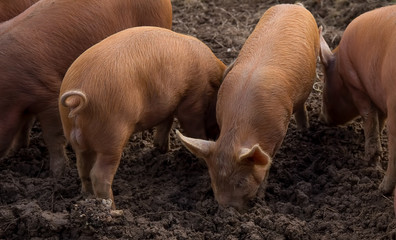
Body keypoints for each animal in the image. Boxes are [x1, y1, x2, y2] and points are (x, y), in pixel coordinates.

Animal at [58, 26, 226, 209]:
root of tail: (77, 99)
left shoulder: (168, 104)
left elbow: (165, 124)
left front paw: (163, 149)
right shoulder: (192, 101)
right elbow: (193, 128)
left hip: (78, 141)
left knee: (83, 168)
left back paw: (88, 198)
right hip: (112, 138)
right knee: (99, 175)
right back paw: (114, 210)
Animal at [176, 3, 318, 210]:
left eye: (241, 182)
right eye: (213, 178)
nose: (226, 209)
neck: (241, 125)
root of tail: (294, 5)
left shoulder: (278, 132)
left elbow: (267, 163)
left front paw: (261, 198)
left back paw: (305, 131)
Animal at [318, 4, 396, 195]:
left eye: (324, 81)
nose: (321, 118)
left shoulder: (356, 85)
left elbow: (369, 118)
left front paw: (371, 164)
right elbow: (379, 120)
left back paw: (382, 189)